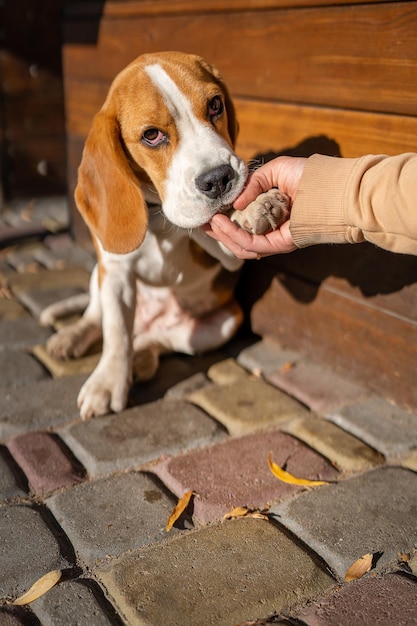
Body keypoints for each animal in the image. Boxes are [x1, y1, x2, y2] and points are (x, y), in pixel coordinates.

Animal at [40, 51, 286, 416]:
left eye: (215, 105)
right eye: (152, 136)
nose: (219, 178)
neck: (158, 216)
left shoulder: (231, 258)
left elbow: (206, 225)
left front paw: (254, 205)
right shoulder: (114, 272)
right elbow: (116, 335)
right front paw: (106, 383)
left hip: (225, 321)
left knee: (155, 340)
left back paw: (141, 358)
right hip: (99, 275)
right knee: (99, 317)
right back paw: (72, 337)